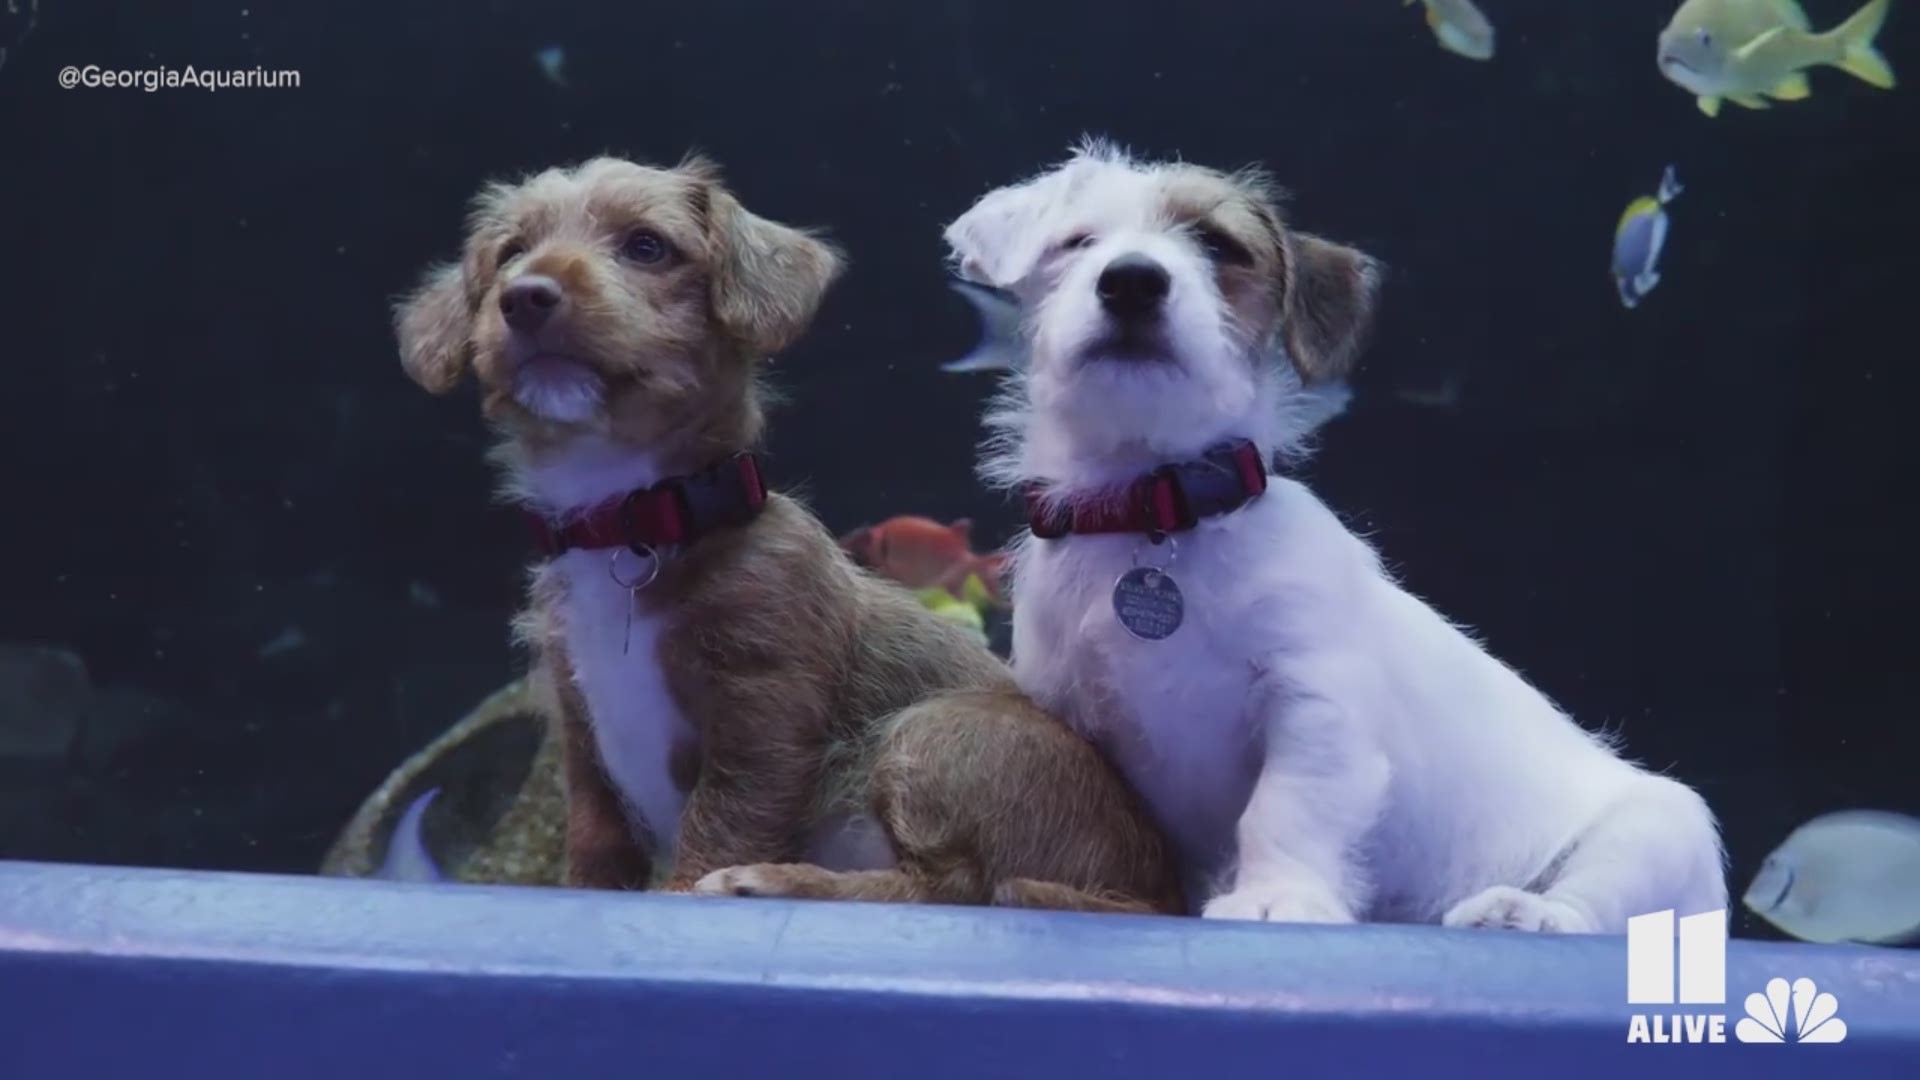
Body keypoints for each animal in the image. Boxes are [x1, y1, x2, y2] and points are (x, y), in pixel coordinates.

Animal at [391, 153, 1175, 907]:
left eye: (646, 246)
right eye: (509, 254)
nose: (526, 295)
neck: (631, 522)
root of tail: (1147, 886)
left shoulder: (762, 707)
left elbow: (726, 812)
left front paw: (691, 887)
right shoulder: (578, 723)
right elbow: (595, 839)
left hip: (934, 733)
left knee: (949, 886)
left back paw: (775, 879)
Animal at [952, 141, 1735, 926]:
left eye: (1220, 246)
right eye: (1076, 242)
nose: (1132, 281)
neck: (1154, 507)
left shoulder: (1315, 701)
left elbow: (1286, 807)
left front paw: (1275, 896)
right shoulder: (1067, 712)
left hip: (1658, 830)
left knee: (1599, 904)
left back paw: (1524, 911)